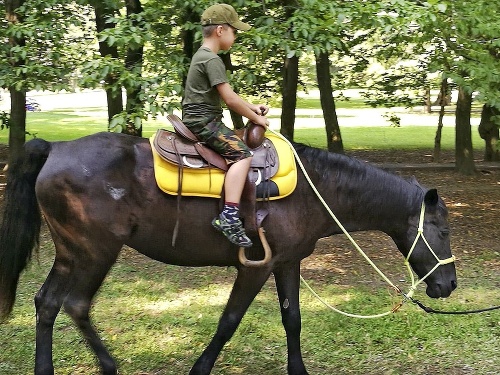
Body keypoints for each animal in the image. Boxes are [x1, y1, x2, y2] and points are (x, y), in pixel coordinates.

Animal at [0, 133, 458, 375]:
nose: (449, 284)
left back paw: (46, 368)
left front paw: (298, 370)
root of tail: (56, 148)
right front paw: (200, 369)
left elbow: (293, 319)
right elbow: (229, 321)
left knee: (47, 302)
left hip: (71, 252)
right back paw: (108, 365)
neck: (314, 191)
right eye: (443, 230)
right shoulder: (255, 267)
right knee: (76, 304)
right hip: (95, 252)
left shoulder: (287, 262)